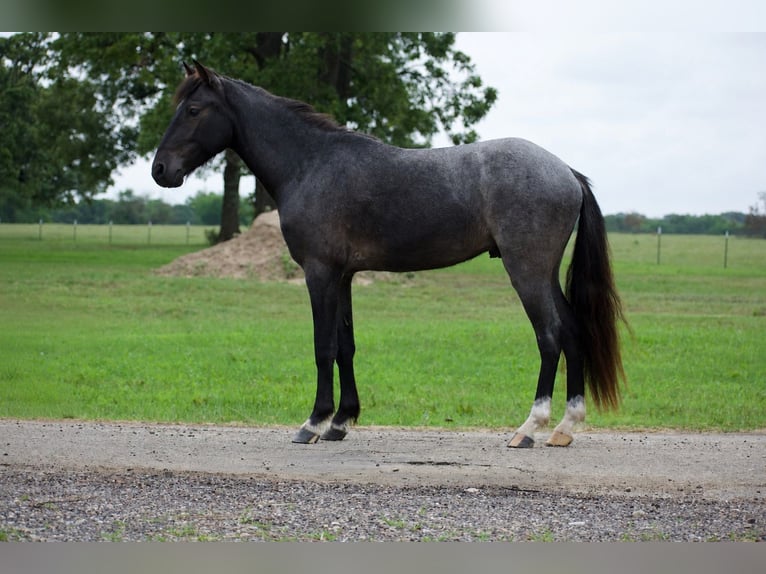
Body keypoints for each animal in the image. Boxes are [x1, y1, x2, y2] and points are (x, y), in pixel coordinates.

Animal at [152, 61, 626, 448]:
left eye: (193, 110)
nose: (159, 170)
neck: (311, 164)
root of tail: (567, 172)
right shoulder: (343, 276)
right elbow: (345, 346)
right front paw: (341, 422)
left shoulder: (319, 273)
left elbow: (322, 346)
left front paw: (314, 422)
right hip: (544, 274)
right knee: (573, 331)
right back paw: (565, 427)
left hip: (526, 271)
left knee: (549, 336)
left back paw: (530, 428)